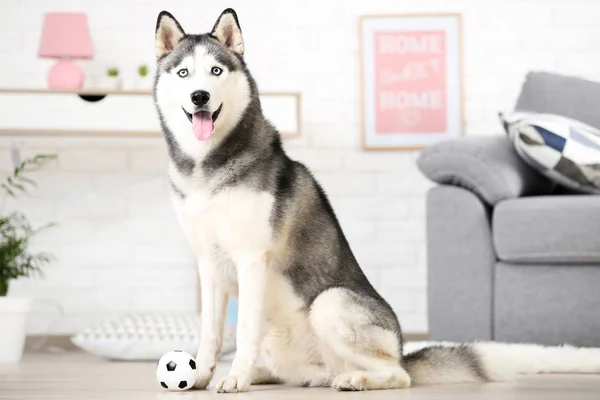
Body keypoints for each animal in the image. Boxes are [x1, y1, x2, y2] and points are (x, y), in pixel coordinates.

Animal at [155, 7, 600, 392]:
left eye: (216, 70)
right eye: (183, 72)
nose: (199, 96)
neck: (207, 165)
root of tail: (402, 350)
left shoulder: (251, 259)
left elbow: (242, 330)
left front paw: (232, 379)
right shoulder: (210, 264)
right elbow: (210, 333)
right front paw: (199, 376)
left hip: (331, 303)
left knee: (396, 375)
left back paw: (355, 379)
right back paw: (270, 375)